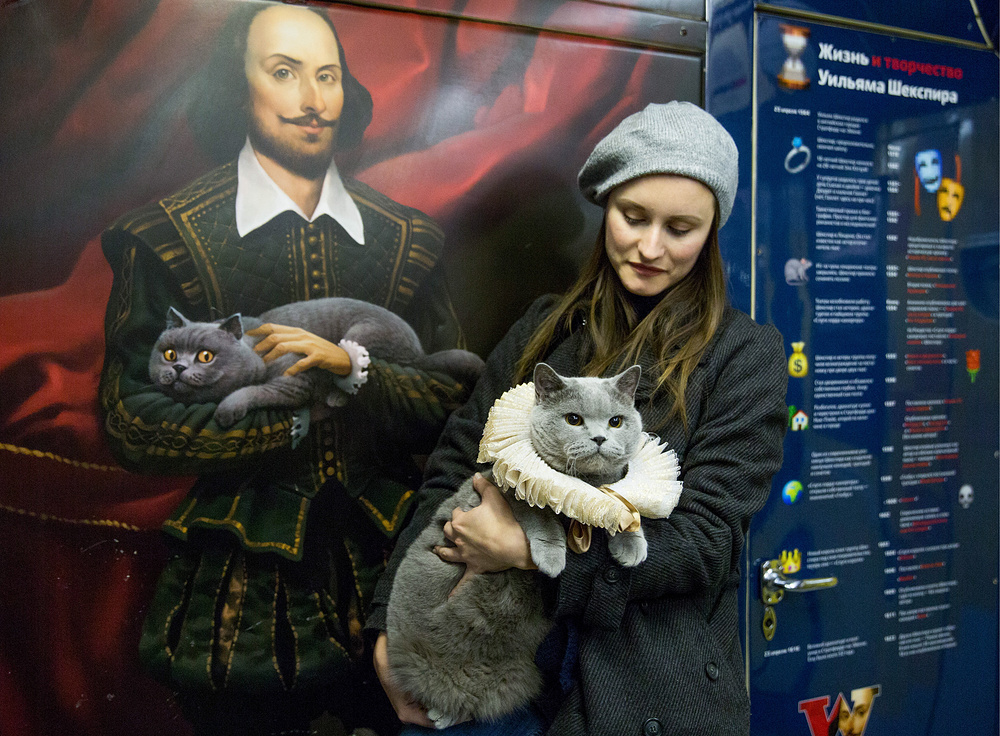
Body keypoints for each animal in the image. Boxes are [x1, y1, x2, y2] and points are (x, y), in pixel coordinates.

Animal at [149, 296, 488, 428]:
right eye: (169, 354)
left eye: (206, 356)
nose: (178, 367)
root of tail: (419, 350)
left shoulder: (294, 381)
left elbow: (254, 390)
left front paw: (227, 410)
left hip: (361, 333)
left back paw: (334, 398)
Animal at [382, 360, 648, 728]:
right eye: (573, 419)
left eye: (616, 422)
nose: (599, 437)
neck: (584, 484)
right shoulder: (512, 491)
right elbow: (542, 517)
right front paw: (552, 557)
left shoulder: (605, 492)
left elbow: (618, 504)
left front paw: (632, 547)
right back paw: (437, 710)